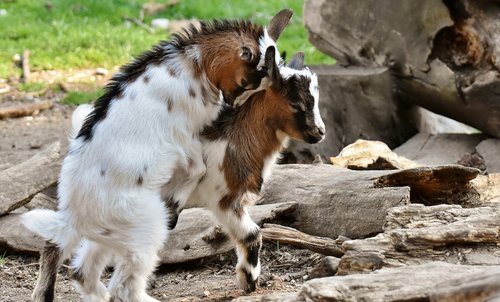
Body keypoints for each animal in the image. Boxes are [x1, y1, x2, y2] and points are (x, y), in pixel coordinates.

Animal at [21, 10, 292, 302]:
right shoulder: (184, 136)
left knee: (71, 259)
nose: (233, 105)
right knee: (122, 283)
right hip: (143, 225)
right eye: (245, 81)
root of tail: (76, 213)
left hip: (109, 232)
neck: (192, 64)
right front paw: (176, 204)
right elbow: (197, 168)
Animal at [162, 45, 326, 292]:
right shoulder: (223, 198)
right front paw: (248, 279)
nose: (320, 132)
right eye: (295, 103)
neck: (231, 140)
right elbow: (252, 234)